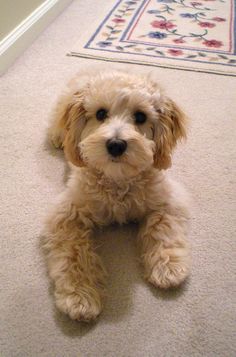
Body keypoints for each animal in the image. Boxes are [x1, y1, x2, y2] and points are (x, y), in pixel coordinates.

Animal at [43, 68, 191, 322]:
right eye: (101, 113)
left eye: (140, 117)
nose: (116, 145)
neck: (118, 181)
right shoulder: (65, 216)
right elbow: (74, 255)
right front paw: (80, 297)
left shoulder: (168, 201)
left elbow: (162, 229)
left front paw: (168, 267)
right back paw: (58, 138)